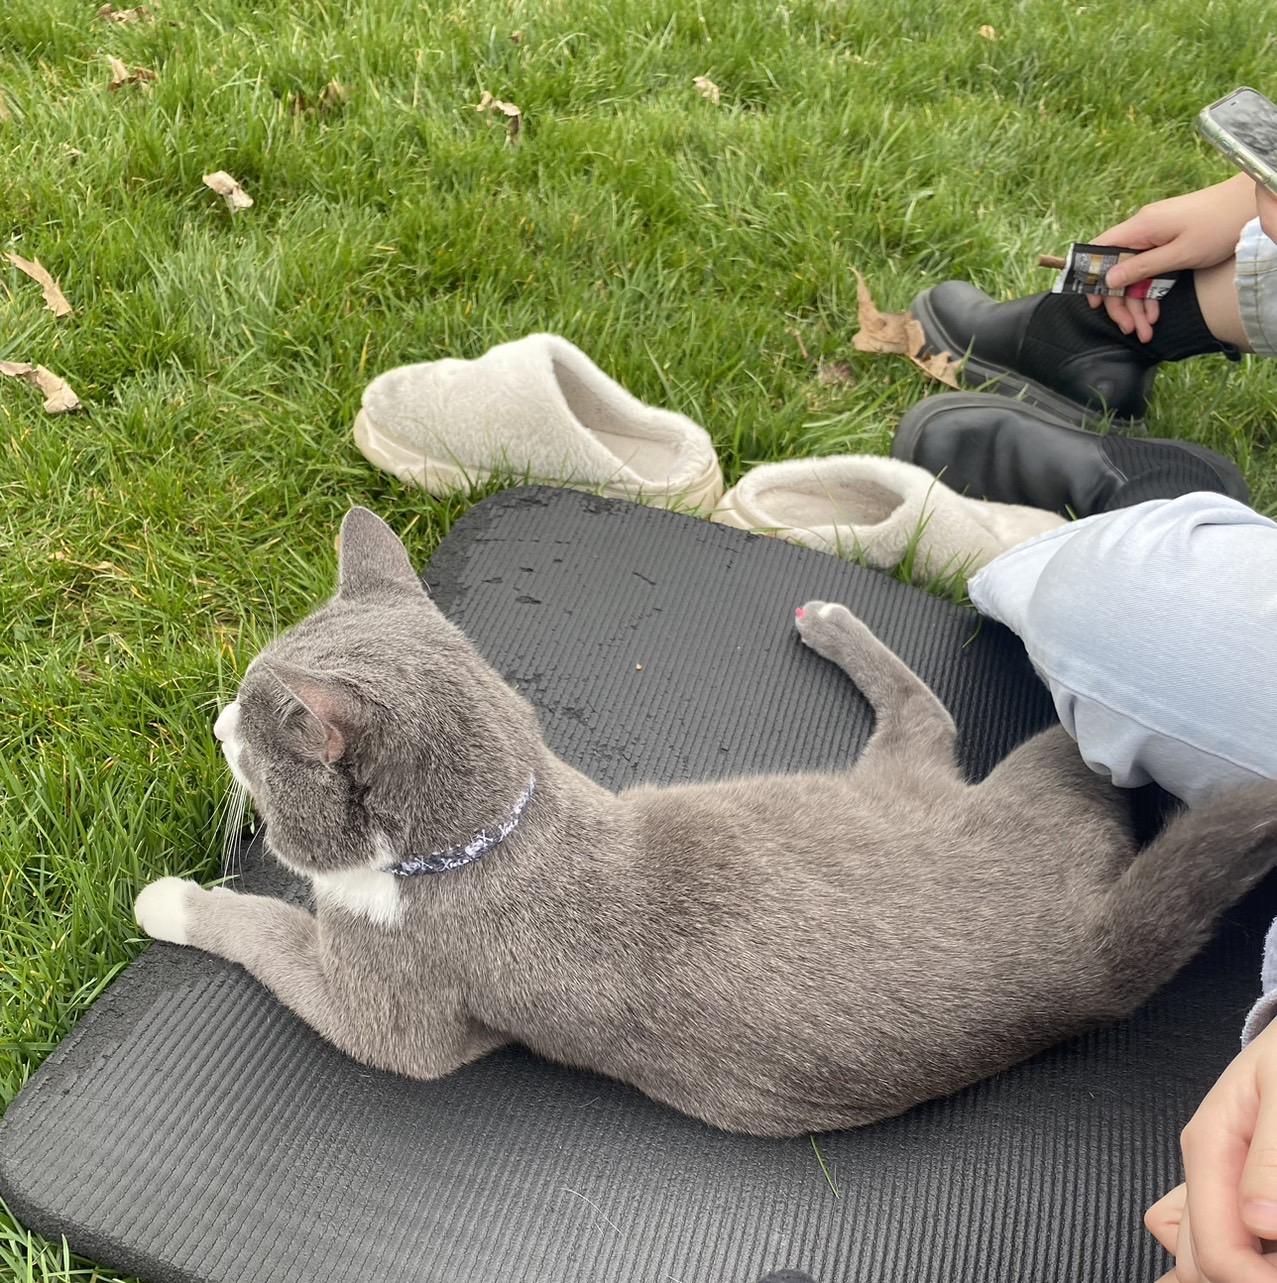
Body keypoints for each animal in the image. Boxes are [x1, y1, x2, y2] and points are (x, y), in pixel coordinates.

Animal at [137, 505, 1277, 1139]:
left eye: (249, 731)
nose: (214, 715)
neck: (495, 829)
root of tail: (1092, 957)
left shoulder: (396, 1012)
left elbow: (273, 932)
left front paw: (172, 900)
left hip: (954, 791)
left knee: (949, 721)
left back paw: (835, 622)